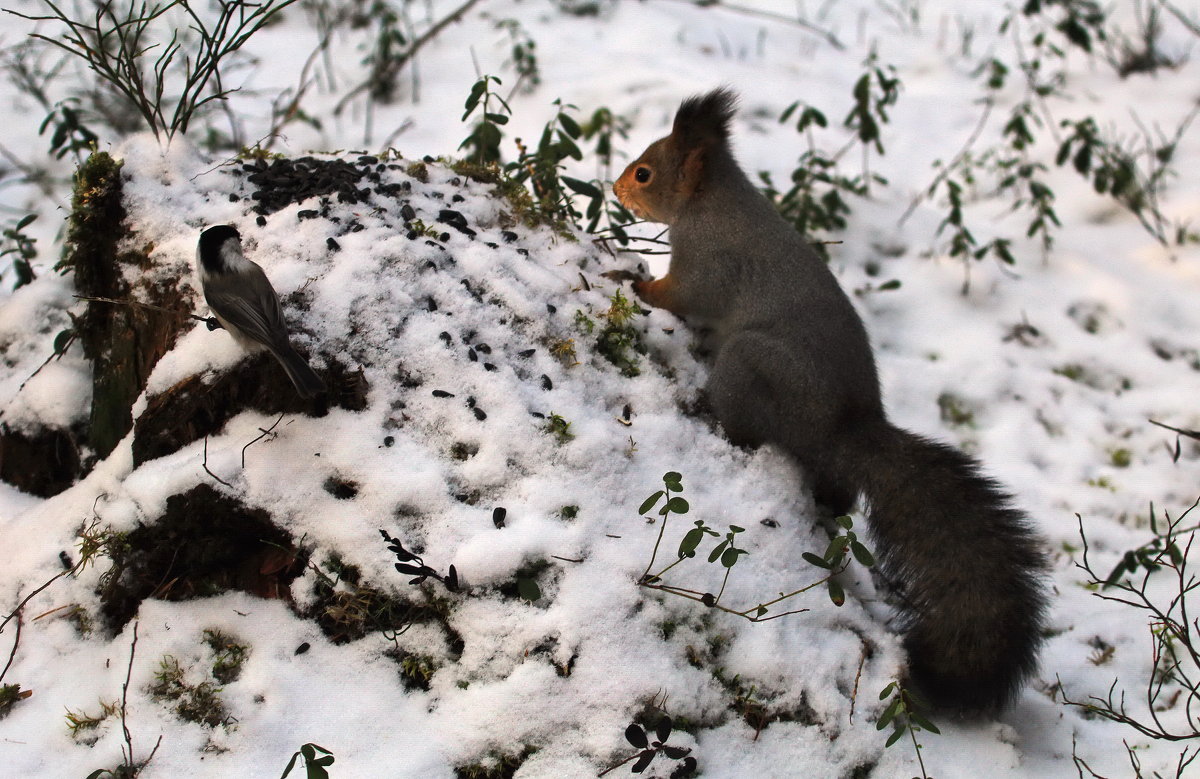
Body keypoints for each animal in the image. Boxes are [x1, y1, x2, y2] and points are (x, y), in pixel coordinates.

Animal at [619, 88, 1051, 715]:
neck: (714, 203)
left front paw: (637, 282)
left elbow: (682, 294)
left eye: (646, 173)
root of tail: (847, 430)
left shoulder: (707, 263)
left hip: (754, 367)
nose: (615, 189)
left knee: (747, 425)